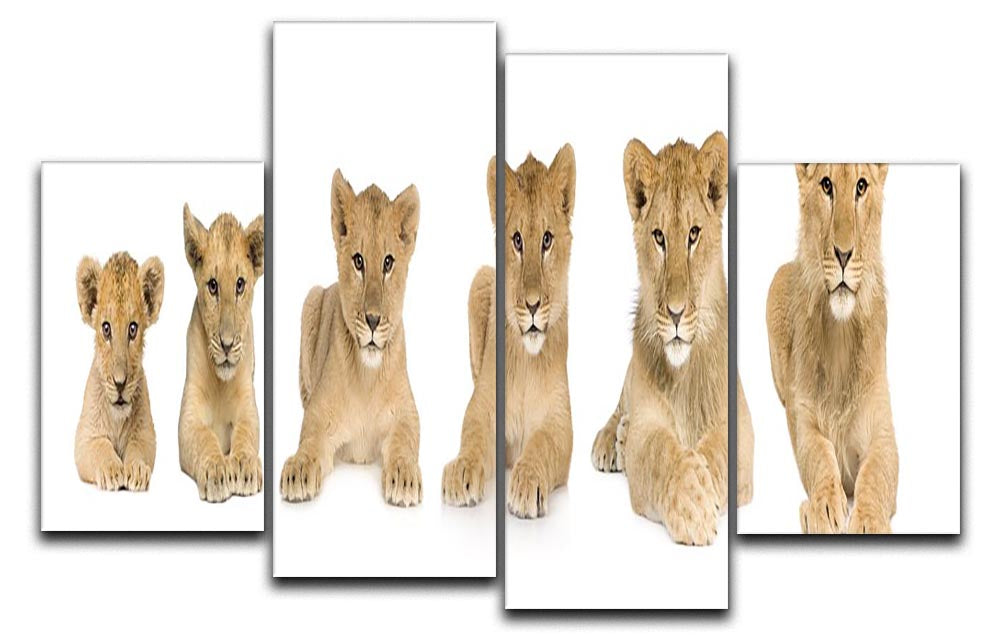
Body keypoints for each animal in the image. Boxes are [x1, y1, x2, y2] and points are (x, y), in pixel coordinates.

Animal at [74, 251, 164, 491]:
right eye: (106, 328)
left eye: (133, 329)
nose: (120, 383)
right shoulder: (84, 438)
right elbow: (100, 447)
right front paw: (112, 470)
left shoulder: (147, 434)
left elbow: (138, 448)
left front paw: (137, 471)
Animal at [179, 205, 264, 502]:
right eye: (213, 286)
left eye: (240, 284)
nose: (226, 345)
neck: (220, 382)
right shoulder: (188, 419)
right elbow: (204, 439)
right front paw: (216, 470)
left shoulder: (249, 408)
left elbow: (246, 434)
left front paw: (244, 465)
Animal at [280, 169, 423, 507]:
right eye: (358, 261)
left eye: (388, 262)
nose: (372, 320)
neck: (366, 373)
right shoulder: (318, 414)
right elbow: (309, 440)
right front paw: (299, 468)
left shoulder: (408, 412)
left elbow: (404, 440)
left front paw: (404, 475)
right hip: (312, 298)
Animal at [590, 133, 754, 546]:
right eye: (659, 237)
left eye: (694, 234)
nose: (677, 313)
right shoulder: (648, 423)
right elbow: (661, 455)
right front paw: (692, 507)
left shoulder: (741, 424)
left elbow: (716, 454)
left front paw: (706, 490)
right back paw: (611, 440)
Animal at [766, 163, 897, 534]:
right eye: (826, 185)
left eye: (861, 187)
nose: (842, 254)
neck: (841, 330)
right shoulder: (805, 420)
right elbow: (820, 456)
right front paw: (823, 508)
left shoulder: (883, 432)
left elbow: (876, 475)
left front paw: (868, 521)